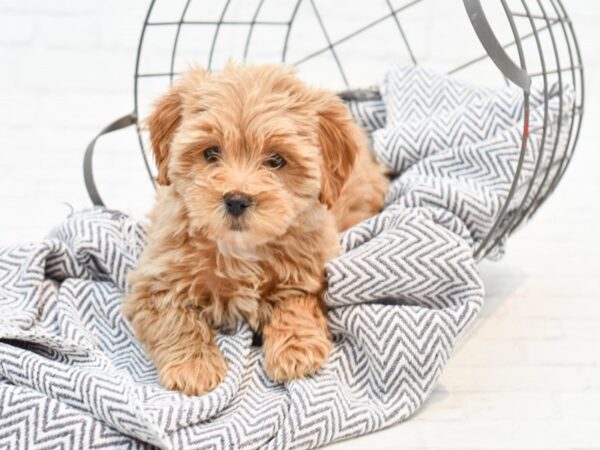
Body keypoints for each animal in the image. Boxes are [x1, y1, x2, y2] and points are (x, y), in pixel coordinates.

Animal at [122, 63, 390, 394]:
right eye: (210, 153)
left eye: (276, 160)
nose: (237, 200)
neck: (241, 249)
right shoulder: (155, 279)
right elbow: (175, 317)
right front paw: (194, 366)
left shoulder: (312, 269)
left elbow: (296, 301)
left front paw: (295, 350)